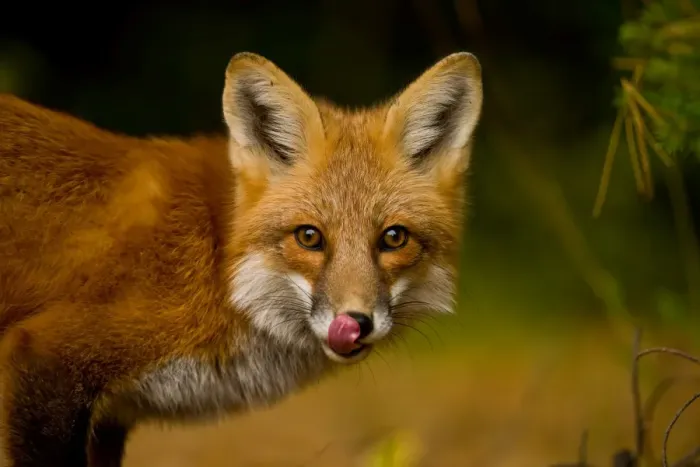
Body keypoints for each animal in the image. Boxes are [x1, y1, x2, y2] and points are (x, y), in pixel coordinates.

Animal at [0, 51, 483, 466]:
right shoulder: (48, 360)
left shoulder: (110, 419)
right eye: (309, 237)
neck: (219, 266)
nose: (355, 322)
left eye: (393, 238)